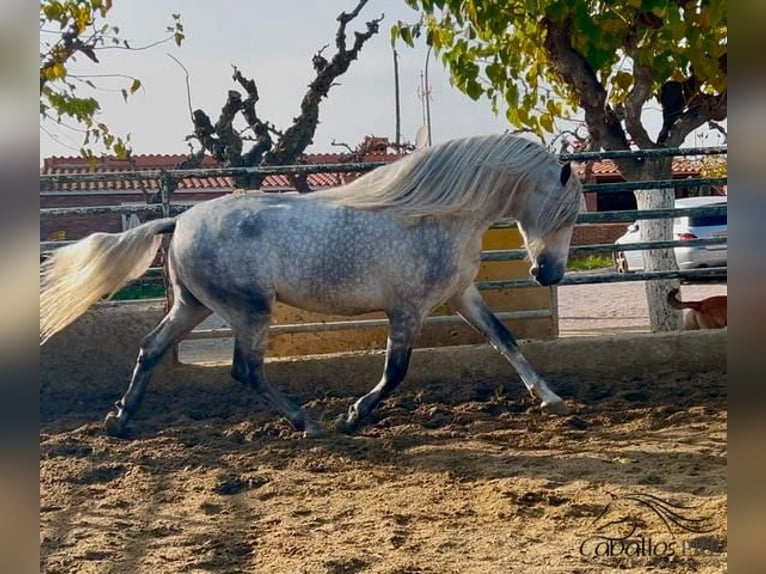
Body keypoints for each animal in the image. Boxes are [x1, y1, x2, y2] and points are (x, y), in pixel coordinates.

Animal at [42, 135, 584, 438]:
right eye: (566, 213)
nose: (549, 275)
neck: (436, 215)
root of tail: (180, 220)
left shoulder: (460, 296)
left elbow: (505, 339)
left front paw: (551, 399)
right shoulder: (407, 310)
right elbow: (395, 372)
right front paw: (353, 416)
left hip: (194, 306)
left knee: (152, 348)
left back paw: (119, 420)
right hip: (250, 311)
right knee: (244, 370)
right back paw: (308, 423)